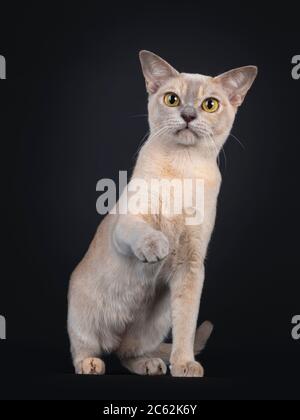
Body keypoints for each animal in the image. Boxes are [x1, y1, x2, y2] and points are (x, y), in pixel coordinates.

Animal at [68, 50, 258, 378]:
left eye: (210, 104)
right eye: (172, 99)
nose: (188, 115)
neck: (183, 168)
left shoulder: (191, 265)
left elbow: (186, 327)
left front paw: (184, 365)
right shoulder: (129, 221)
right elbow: (144, 231)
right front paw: (157, 248)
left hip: (156, 322)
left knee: (127, 352)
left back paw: (151, 364)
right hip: (82, 315)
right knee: (86, 348)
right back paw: (91, 364)